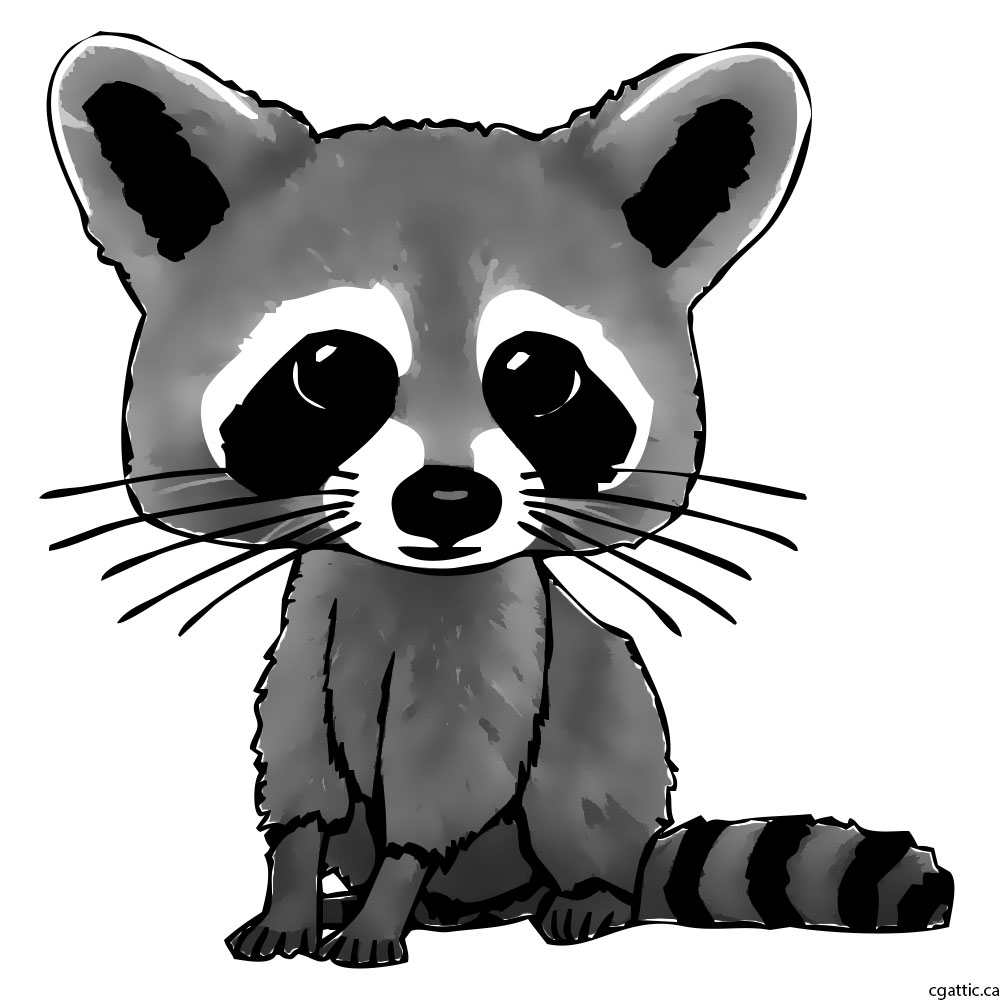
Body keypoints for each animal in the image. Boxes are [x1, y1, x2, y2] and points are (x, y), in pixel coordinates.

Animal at [47, 33, 952, 966]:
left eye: (541, 375)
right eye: (329, 371)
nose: (447, 499)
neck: (404, 581)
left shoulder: (494, 629)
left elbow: (448, 774)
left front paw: (385, 905)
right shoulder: (316, 609)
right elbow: (301, 761)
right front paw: (294, 893)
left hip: (611, 746)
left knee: (576, 781)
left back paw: (576, 893)